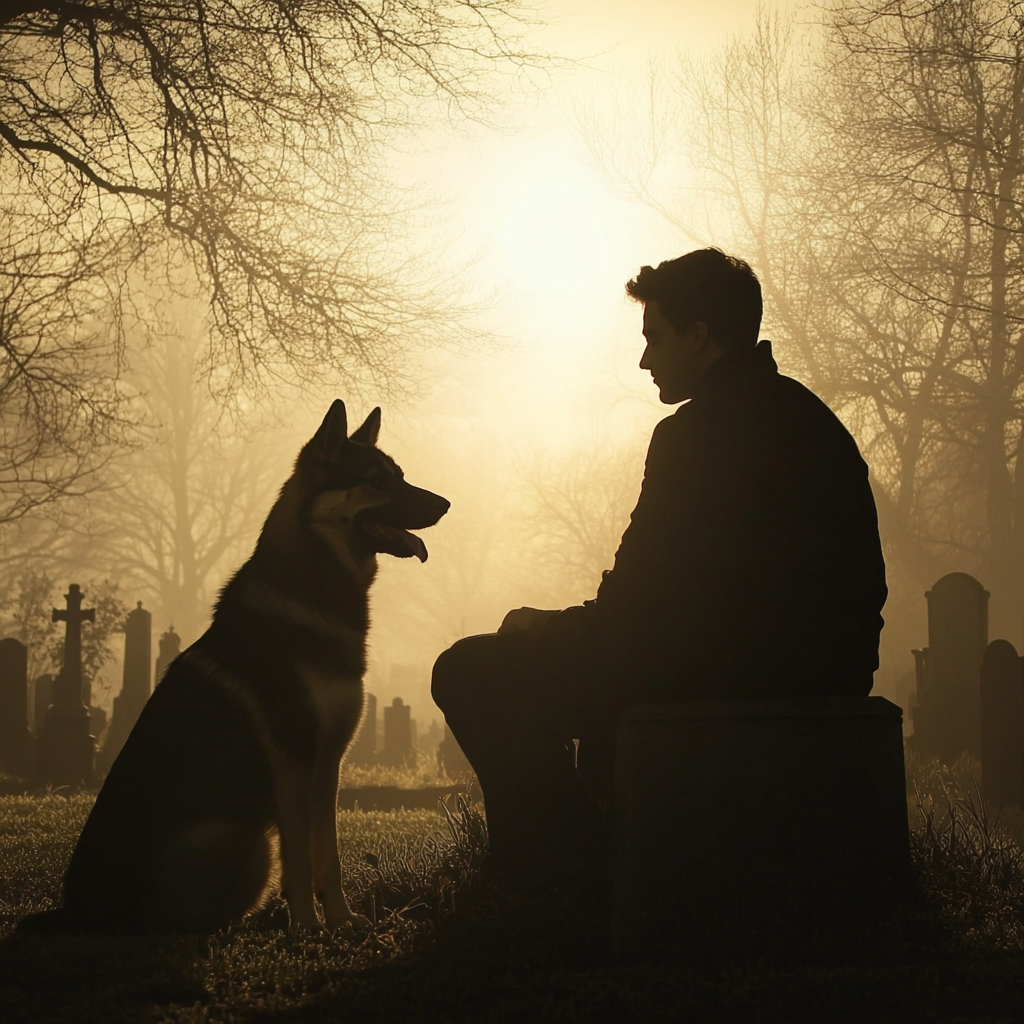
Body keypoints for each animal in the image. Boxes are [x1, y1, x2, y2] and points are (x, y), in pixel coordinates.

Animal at [19, 401, 448, 937]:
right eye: (376, 481)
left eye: (401, 476)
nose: (445, 504)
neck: (313, 593)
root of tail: (73, 910)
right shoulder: (294, 763)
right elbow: (300, 861)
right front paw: (308, 928)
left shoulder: (327, 765)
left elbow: (328, 858)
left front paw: (342, 921)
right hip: (237, 837)